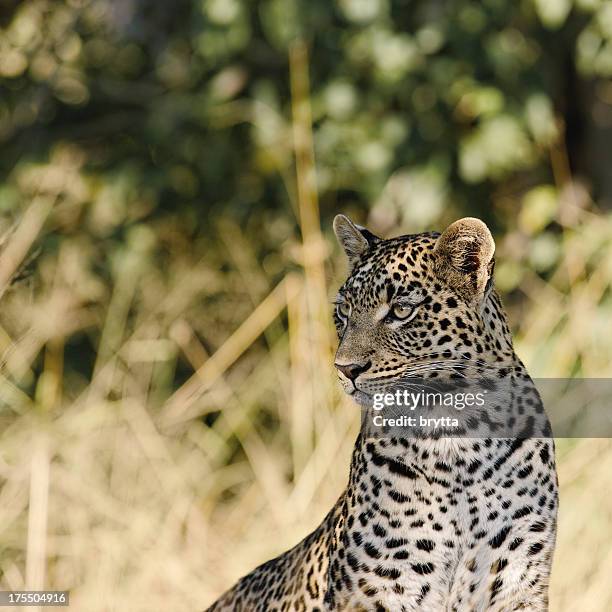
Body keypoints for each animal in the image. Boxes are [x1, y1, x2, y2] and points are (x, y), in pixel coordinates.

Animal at [204, 215, 556, 612]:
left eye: (401, 310)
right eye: (345, 310)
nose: (345, 369)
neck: (457, 441)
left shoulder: (518, 582)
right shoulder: (380, 590)